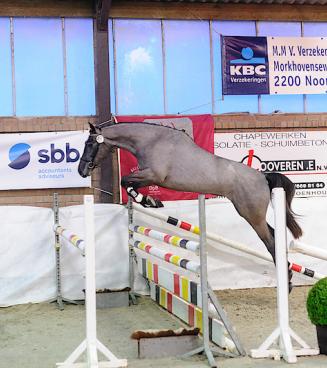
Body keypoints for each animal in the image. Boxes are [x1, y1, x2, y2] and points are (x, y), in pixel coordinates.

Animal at [78, 119, 304, 288]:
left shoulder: (154, 175)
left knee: (270, 241)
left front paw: (148, 200)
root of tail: (263, 176)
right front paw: (150, 201)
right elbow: (127, 183)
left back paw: (287, 281)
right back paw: (288, 273)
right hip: (252, 214)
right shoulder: (148, 176)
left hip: (251, 215)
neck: (150, 141)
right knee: (274, 234)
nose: (82, 171)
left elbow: (126, 181)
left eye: (90, 144)